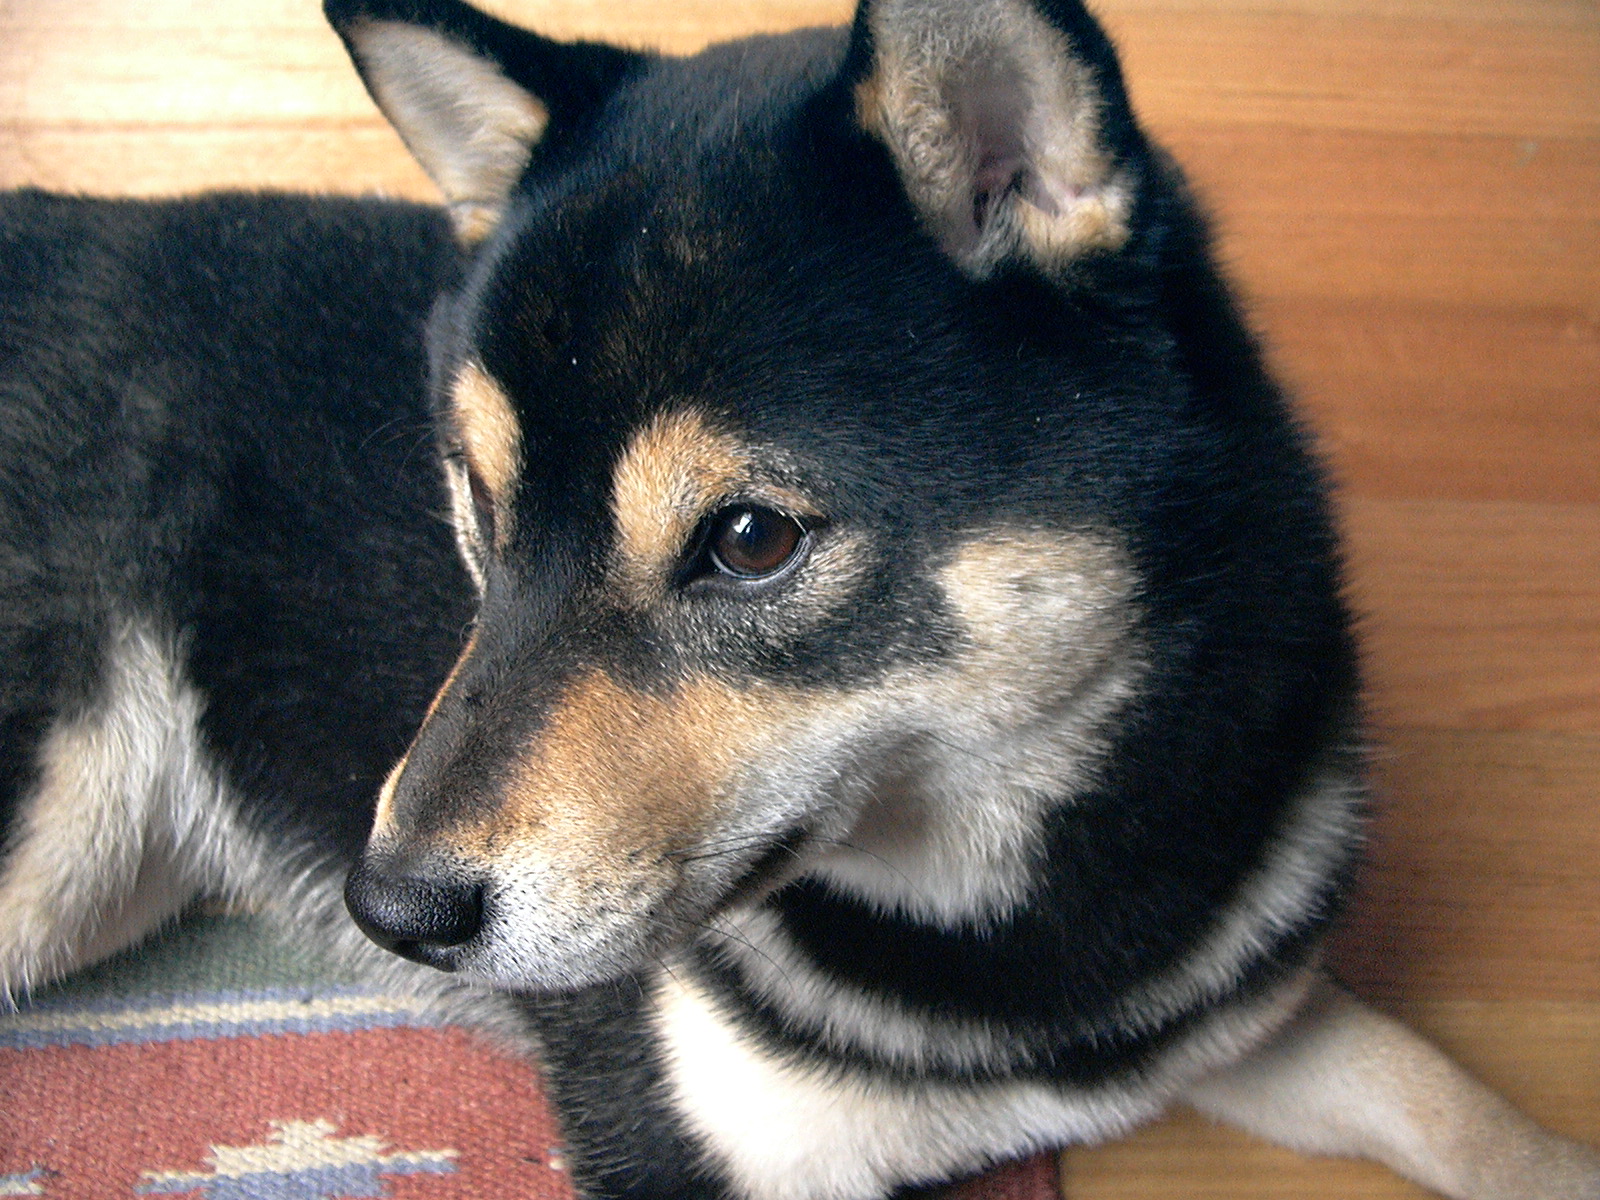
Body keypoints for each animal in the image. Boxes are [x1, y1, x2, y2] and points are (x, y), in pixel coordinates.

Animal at [3, 2, 1600, 1200]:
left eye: (750, 541)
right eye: (479, 502)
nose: (389, 907)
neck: (1023, 924)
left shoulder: (1227, 1019)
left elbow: (1458, 1104)